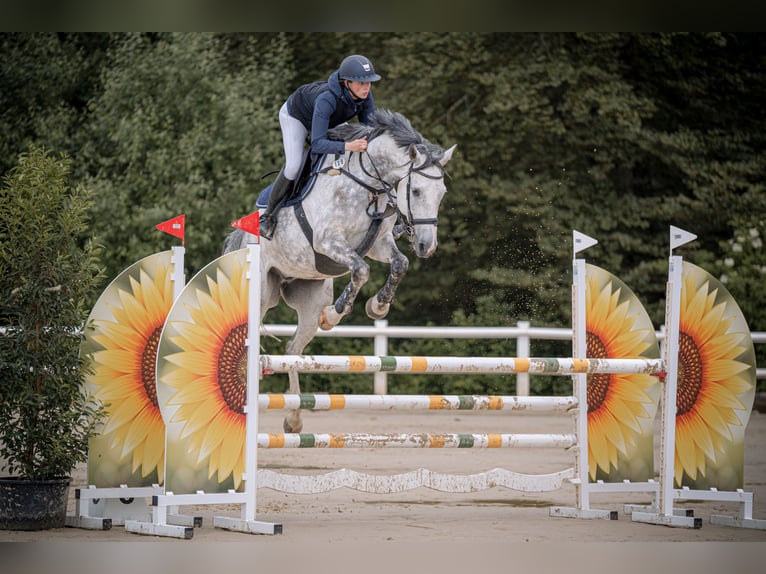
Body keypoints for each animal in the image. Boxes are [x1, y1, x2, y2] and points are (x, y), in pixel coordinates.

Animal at [225, 109, 460, 432]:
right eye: (415, 190)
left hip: (309, 299)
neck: (369, 185)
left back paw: (294, 419)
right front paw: (337, 313)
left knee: (292, 350)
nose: (427, 245)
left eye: (443, 193)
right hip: (259, 294)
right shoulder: (329, 241)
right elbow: (360, 270)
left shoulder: (378, 244)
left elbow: (400, 263)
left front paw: (378, 306)